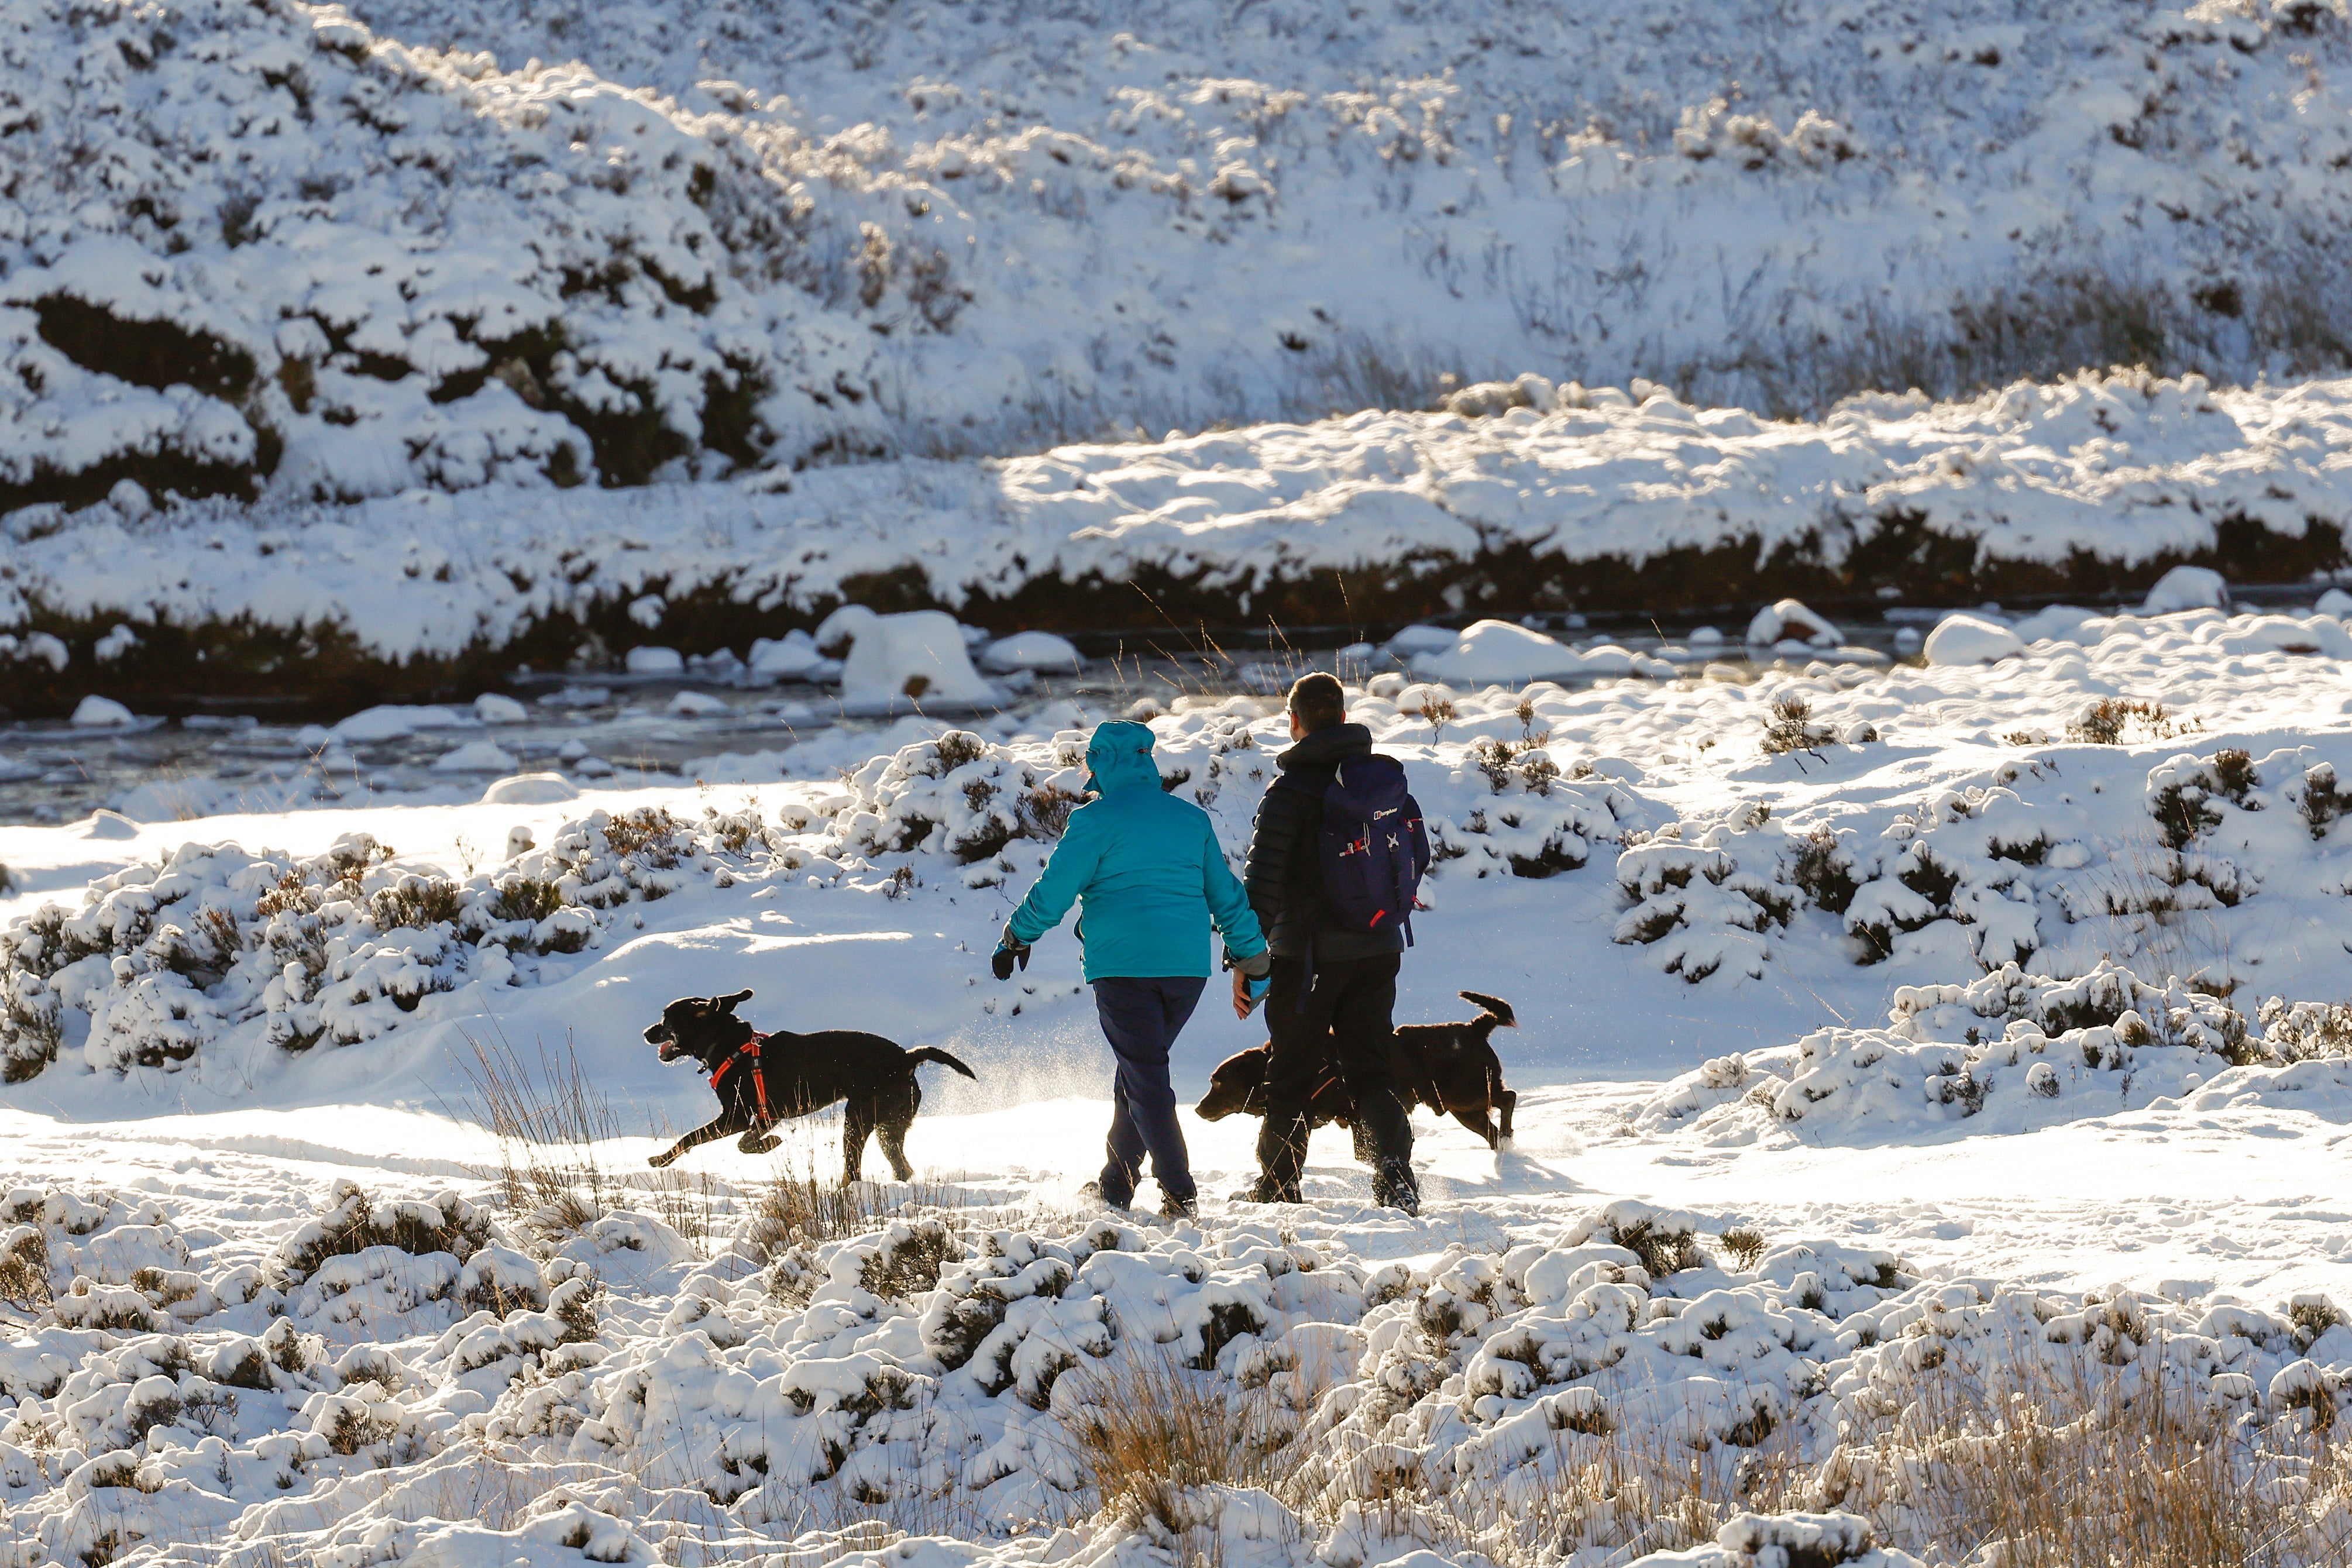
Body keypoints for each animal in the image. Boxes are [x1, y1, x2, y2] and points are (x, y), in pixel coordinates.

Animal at [644, 987, 974, 1185]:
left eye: (666, 1019)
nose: (647, 1032)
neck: (728, 1045)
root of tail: (907, 1057)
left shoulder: (735, 1117)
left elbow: (693, 1138)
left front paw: (660, 1159)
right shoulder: (767, 1116)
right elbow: (745, 1142)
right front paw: (767, 1144)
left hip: (858, 1118)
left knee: (854, 1169)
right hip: (889, 1125)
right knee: (900, 1166)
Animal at [1195, 992, 1524, 1151]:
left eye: (1218, 1083)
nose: (1197, 1110)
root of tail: (1475, 1028)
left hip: (1466, 1095)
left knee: (1509, 1097)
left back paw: (1508, 1135)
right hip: (1464, 1109)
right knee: (1493, 1129)